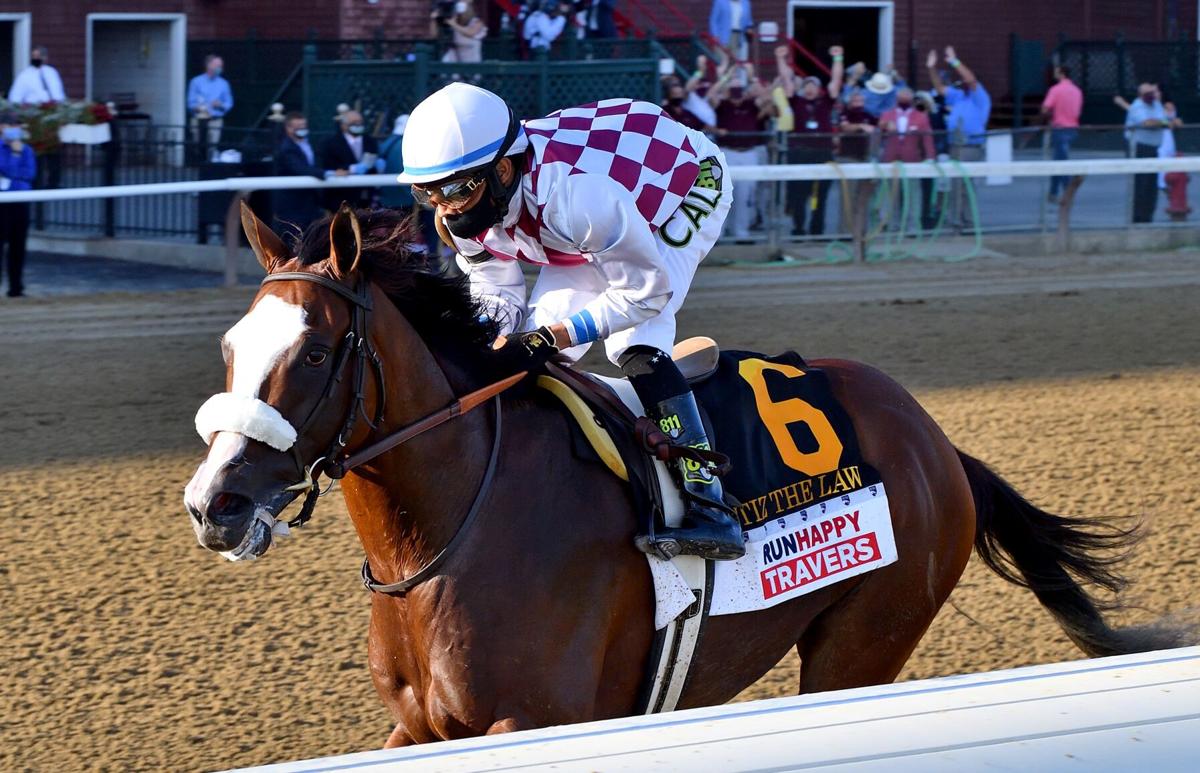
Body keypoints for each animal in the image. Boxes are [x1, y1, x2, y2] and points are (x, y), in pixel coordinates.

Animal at [184, 202, 1190, 744]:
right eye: (230, 346)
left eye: (316, 353)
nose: (212, 503)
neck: (446, 537)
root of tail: (935, 438)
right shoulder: (421, 729)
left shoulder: (538, 719)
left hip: (866, 639)